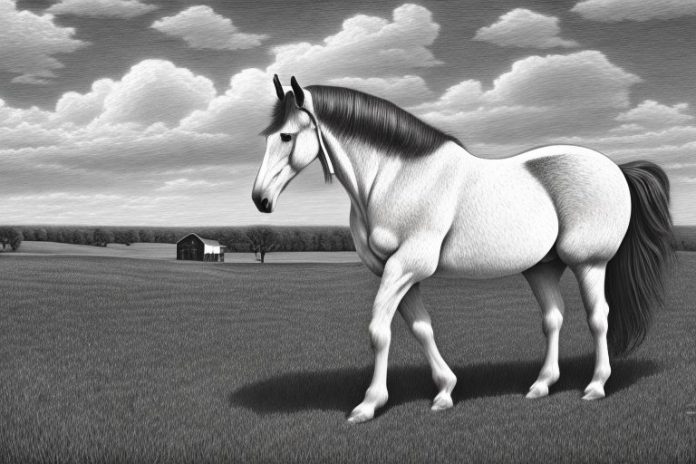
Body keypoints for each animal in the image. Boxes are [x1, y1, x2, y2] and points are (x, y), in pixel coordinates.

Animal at [251, 75, 673, 423]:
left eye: (286, 136)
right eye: (268, 135)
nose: (260, 199)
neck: (395, 177)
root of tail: (617, 168)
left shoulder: (406, 267)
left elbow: (379, 332)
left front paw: (369, 404)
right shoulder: (396, 272)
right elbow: (421, 329)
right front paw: (445, 391)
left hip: (589, 263)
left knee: (598, 318)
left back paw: (596, 386)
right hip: (543, 267)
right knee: (553, 318)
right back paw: (541, 385)